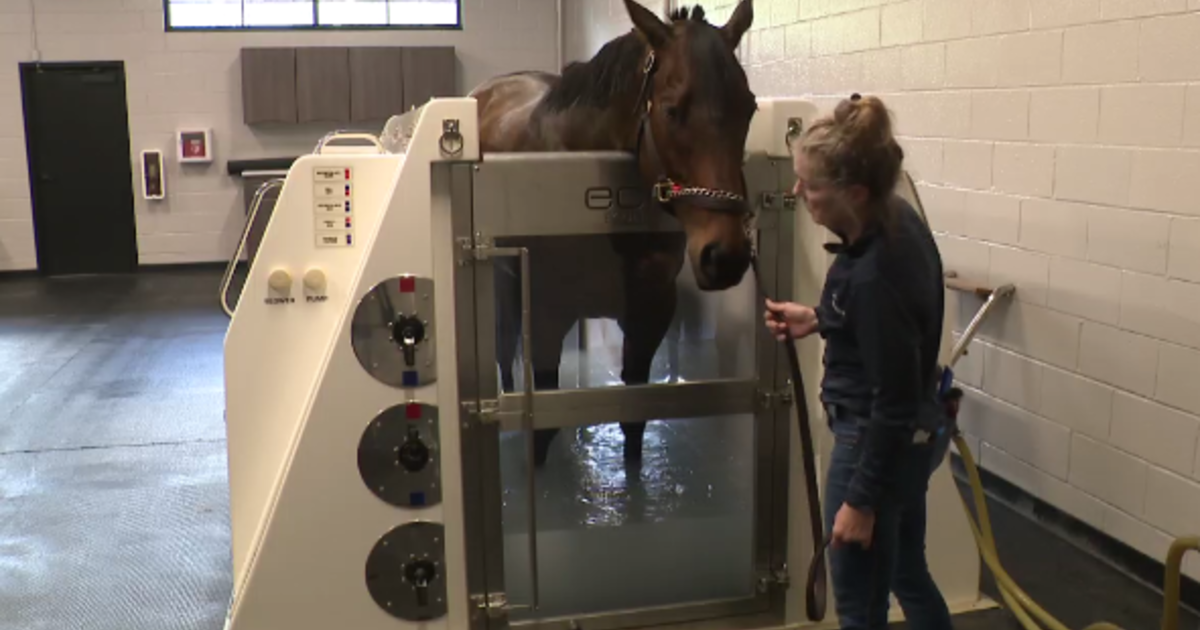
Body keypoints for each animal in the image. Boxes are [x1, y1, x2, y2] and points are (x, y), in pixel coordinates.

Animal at [470, 1, 758, 465]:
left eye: (748, 107)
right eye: (672, 110)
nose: (726, 255)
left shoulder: (650, 310)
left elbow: (633, 419)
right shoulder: (548, 312)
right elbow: (542, 426)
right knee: (504, 345)